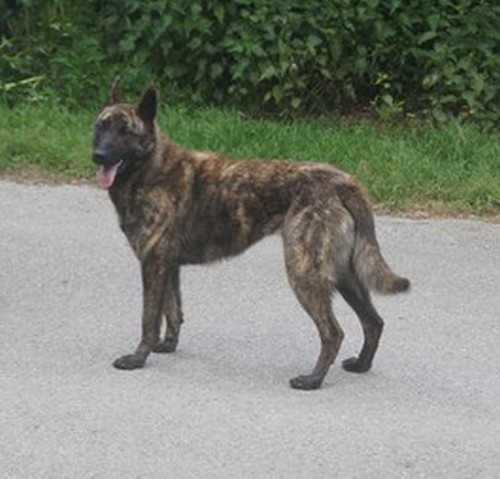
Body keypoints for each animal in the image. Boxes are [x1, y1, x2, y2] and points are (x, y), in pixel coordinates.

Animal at [92, 80, 410, 390]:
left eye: (126, 132)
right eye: (101, 126)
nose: (98, 156)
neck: (150, 168)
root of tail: (342, 181)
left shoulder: (153, 264)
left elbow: (148, 319)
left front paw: (137, 358)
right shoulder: (168, 266)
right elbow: (172, 311)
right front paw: (168, 345)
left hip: (304, 273)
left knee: (333, 332)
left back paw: (313, 380)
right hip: (344, 274)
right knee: (373, 322)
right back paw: (361, 365)